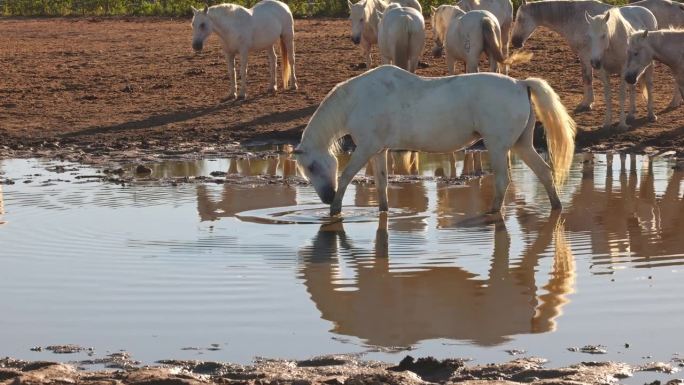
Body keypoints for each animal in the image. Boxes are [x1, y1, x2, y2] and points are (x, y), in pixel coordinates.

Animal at [294, 66, 576, 216]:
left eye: (312, 166)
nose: (327, 198)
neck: (358, 100)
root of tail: (520, 84)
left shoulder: (365, 149)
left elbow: (345, 176)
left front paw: (335, 211)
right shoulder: (379, 150)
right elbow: (382, 185)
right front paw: (384, 212)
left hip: (497, 147)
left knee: (502, 181)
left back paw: (493, 212)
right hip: (522, 145)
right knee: (544, 172)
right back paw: (557, 207)